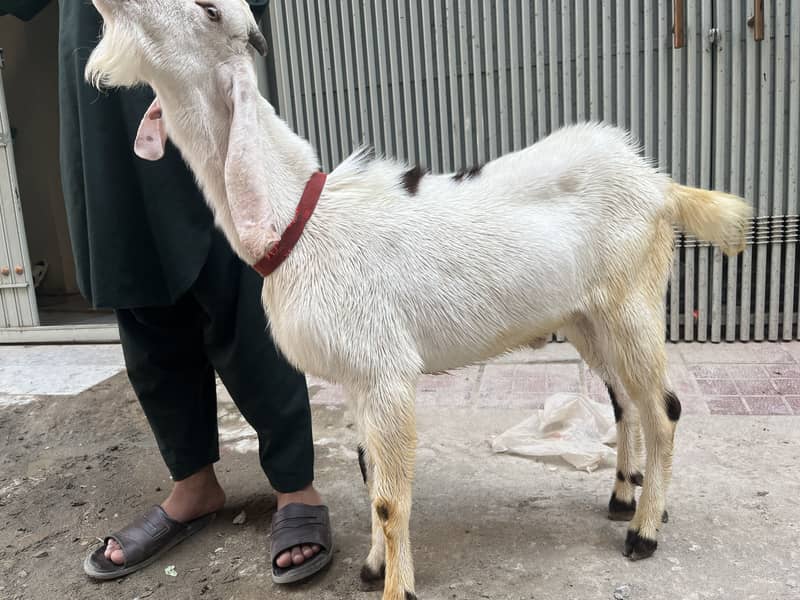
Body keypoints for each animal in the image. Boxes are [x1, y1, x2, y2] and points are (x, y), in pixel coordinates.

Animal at [85, 1, 752, 598]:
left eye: (210, 11)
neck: (302, 217)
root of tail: (661, 184)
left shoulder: (385, 371)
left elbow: (387, 497)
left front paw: (396, 588)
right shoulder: (355, 377)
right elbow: (368, 475)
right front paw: (374, 568)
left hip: (631, 300)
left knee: (663, 407)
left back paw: (644, 532)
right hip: (587, 316)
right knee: (626, 402)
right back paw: (624, 498)